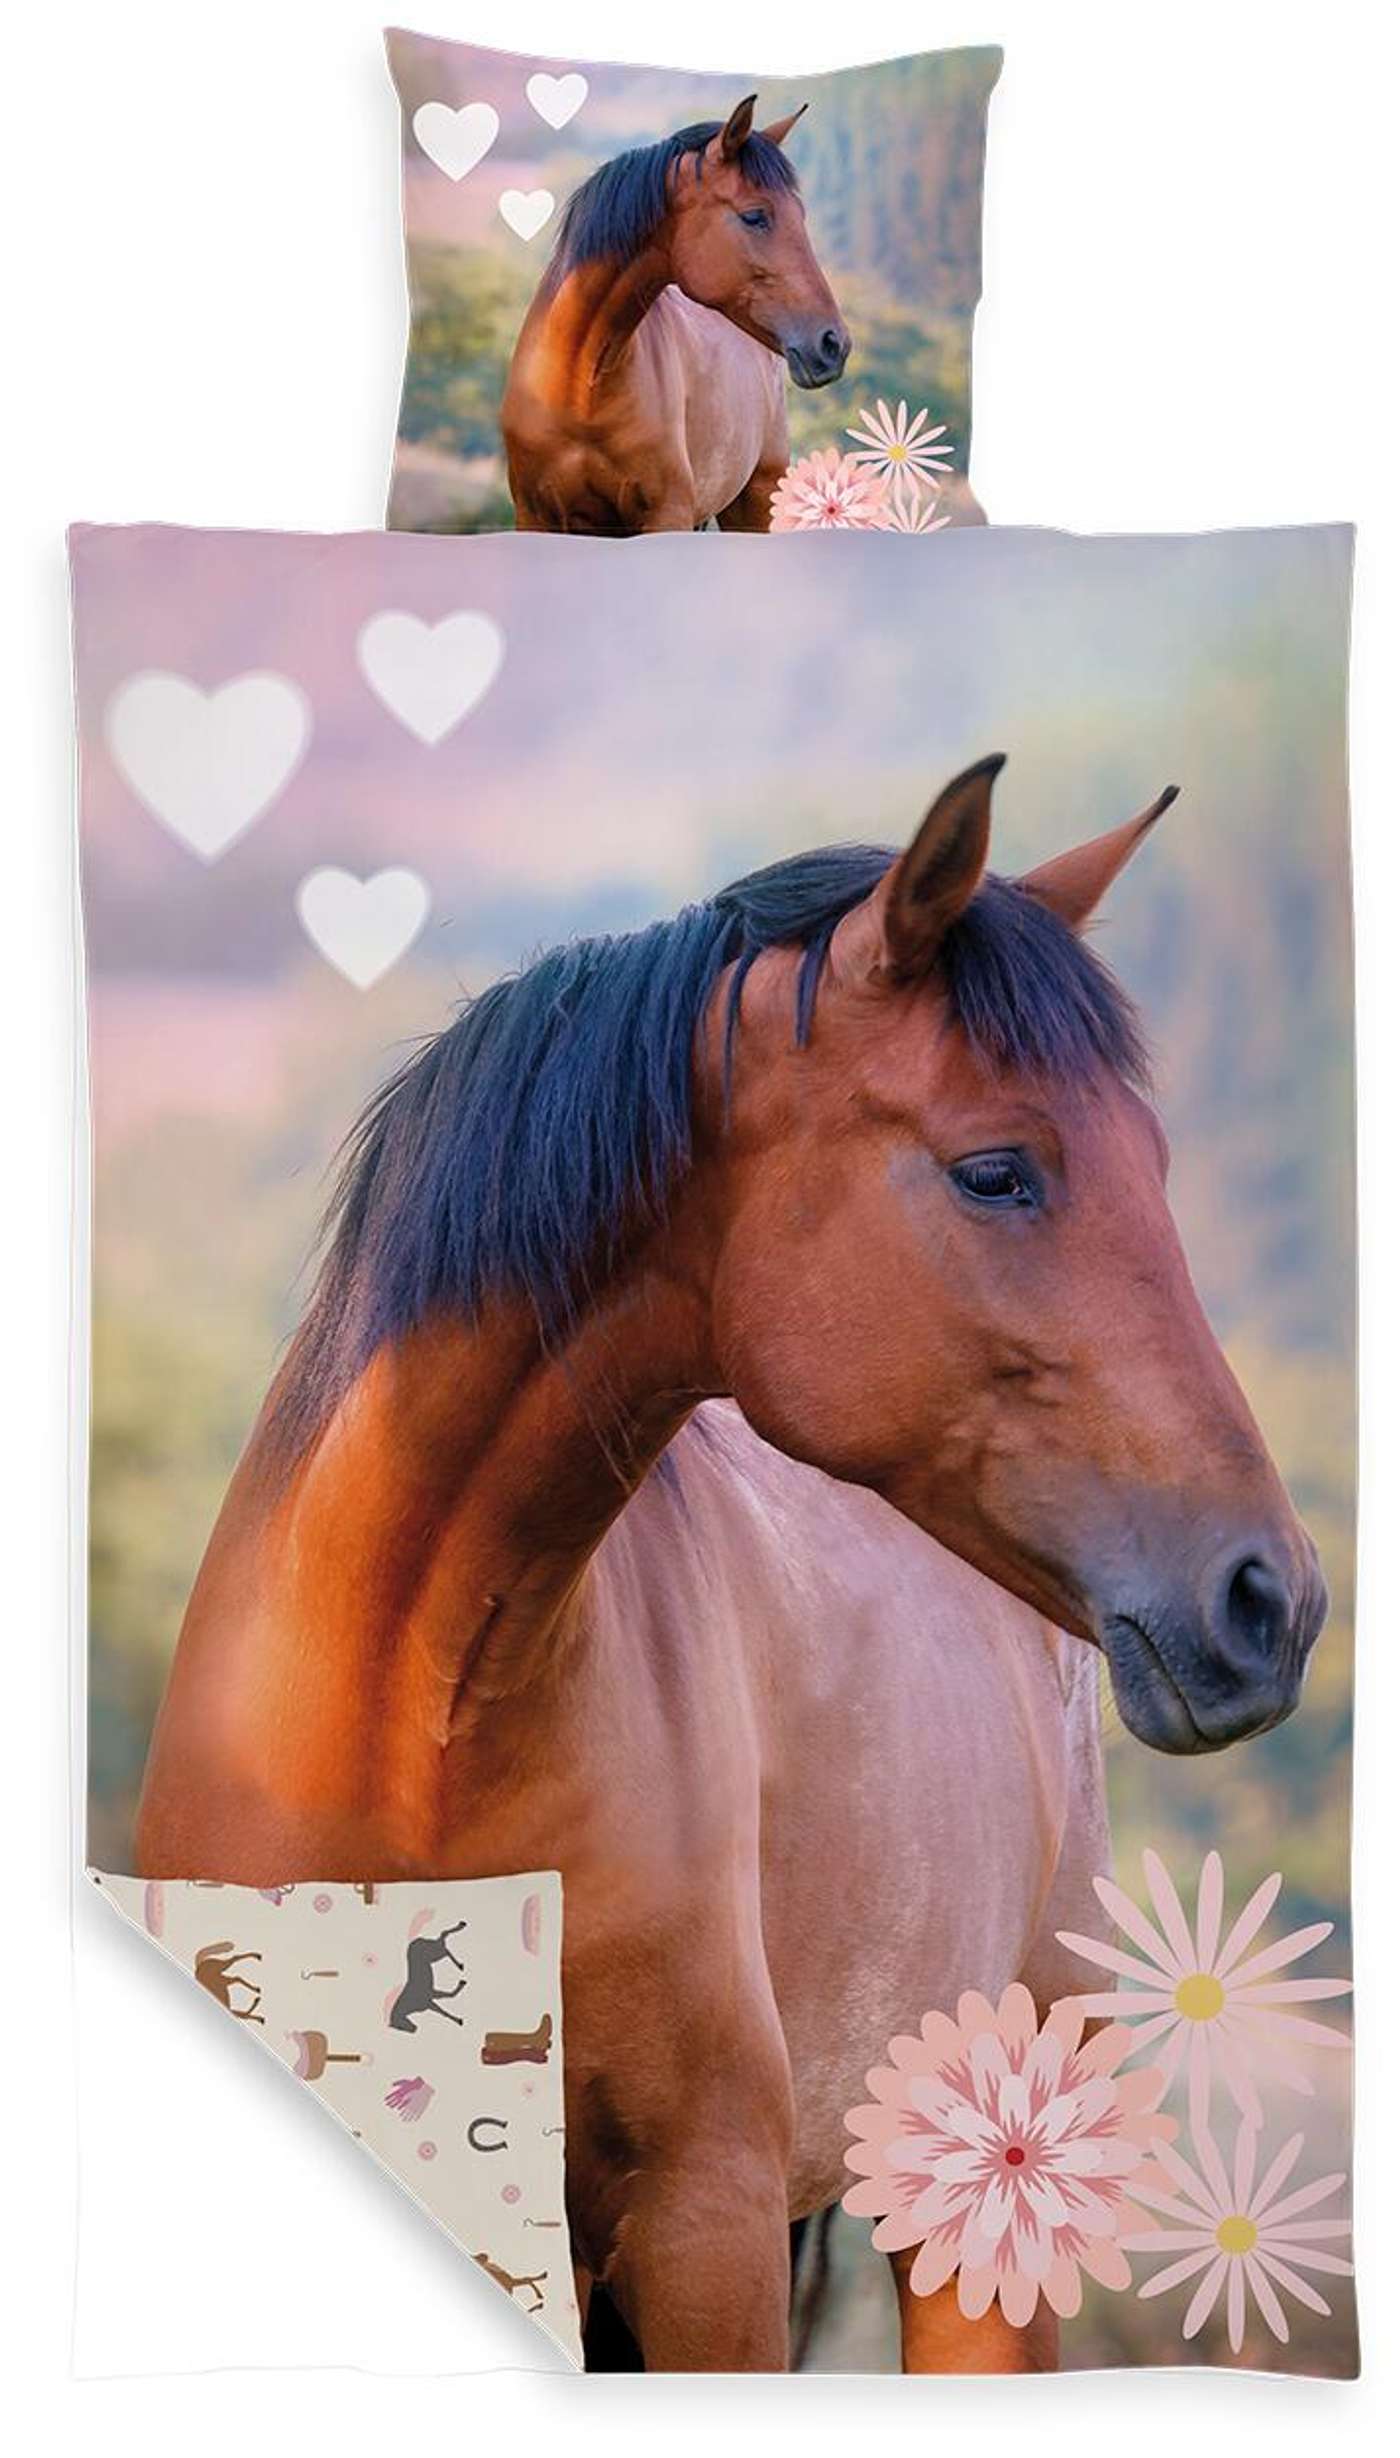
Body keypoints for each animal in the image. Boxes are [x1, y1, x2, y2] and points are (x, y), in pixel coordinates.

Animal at [502, 96, 849, 535]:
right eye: (755, 216)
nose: (833, 343)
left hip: (754, 502)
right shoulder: (534, 518)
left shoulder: (667, 514)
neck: (580, 387)